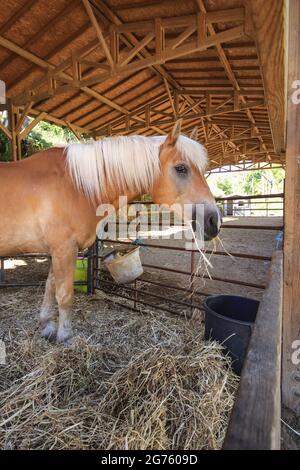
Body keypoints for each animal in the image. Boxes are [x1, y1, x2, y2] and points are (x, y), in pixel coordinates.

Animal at [0, 121, 220, 342]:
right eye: (181, 168)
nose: (214, 220)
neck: (75, 186)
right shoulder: (64, 249)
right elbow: (64, 294)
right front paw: (65, 335)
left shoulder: (56, 251)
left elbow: (50, 286)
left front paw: (47, 326)